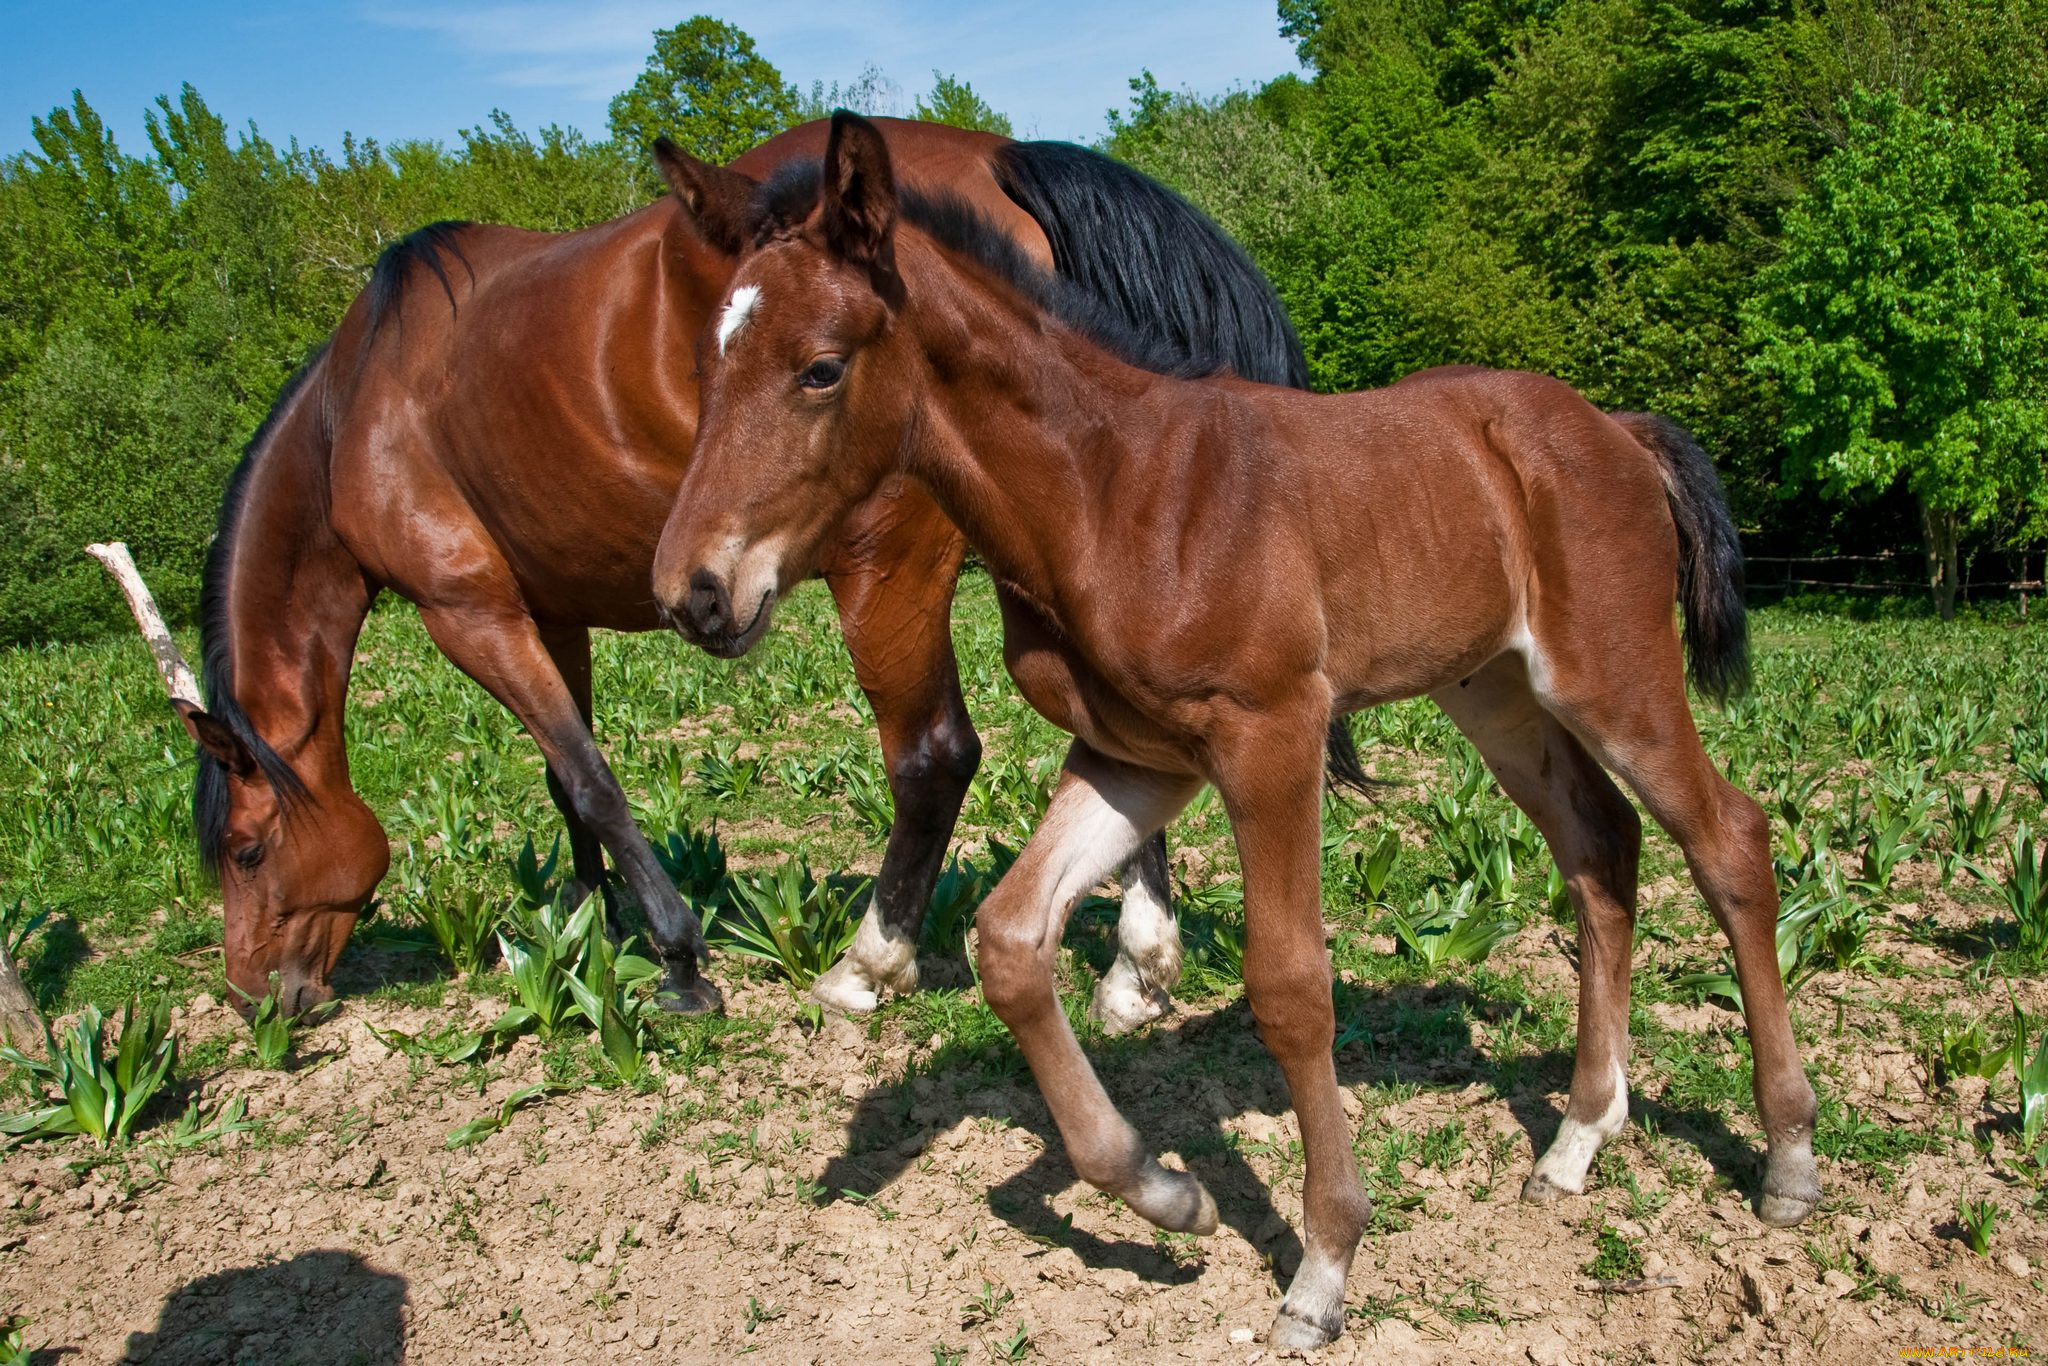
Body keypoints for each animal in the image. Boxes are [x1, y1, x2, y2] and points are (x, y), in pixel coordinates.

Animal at [167, 114, 1302, 1015]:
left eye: (247, 850)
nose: (252, 997)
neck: (352, 410)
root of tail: (996, 156)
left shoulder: (468, 609)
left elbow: (593, 782)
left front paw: (675, 959)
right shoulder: (548, 610)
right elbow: (562, 782)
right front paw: (586, 927)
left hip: (888, 568)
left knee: (932, 755)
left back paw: (875, 961)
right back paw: (1135, 966)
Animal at [655, 114, 1826, 1343]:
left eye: (820, 368)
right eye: (705, 365)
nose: (694, 593)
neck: (1113, 488)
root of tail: (1615, 427)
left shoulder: (1271, 735)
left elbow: (1289, 985)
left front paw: (1323, 1266)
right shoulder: (1132, 758)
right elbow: (1010, 942)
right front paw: (1164, 1192)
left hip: (1615, 677)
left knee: (1728, 839)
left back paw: (1787, 1159)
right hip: (1497, 692)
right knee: (1602, 849)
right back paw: (1576, 1141)